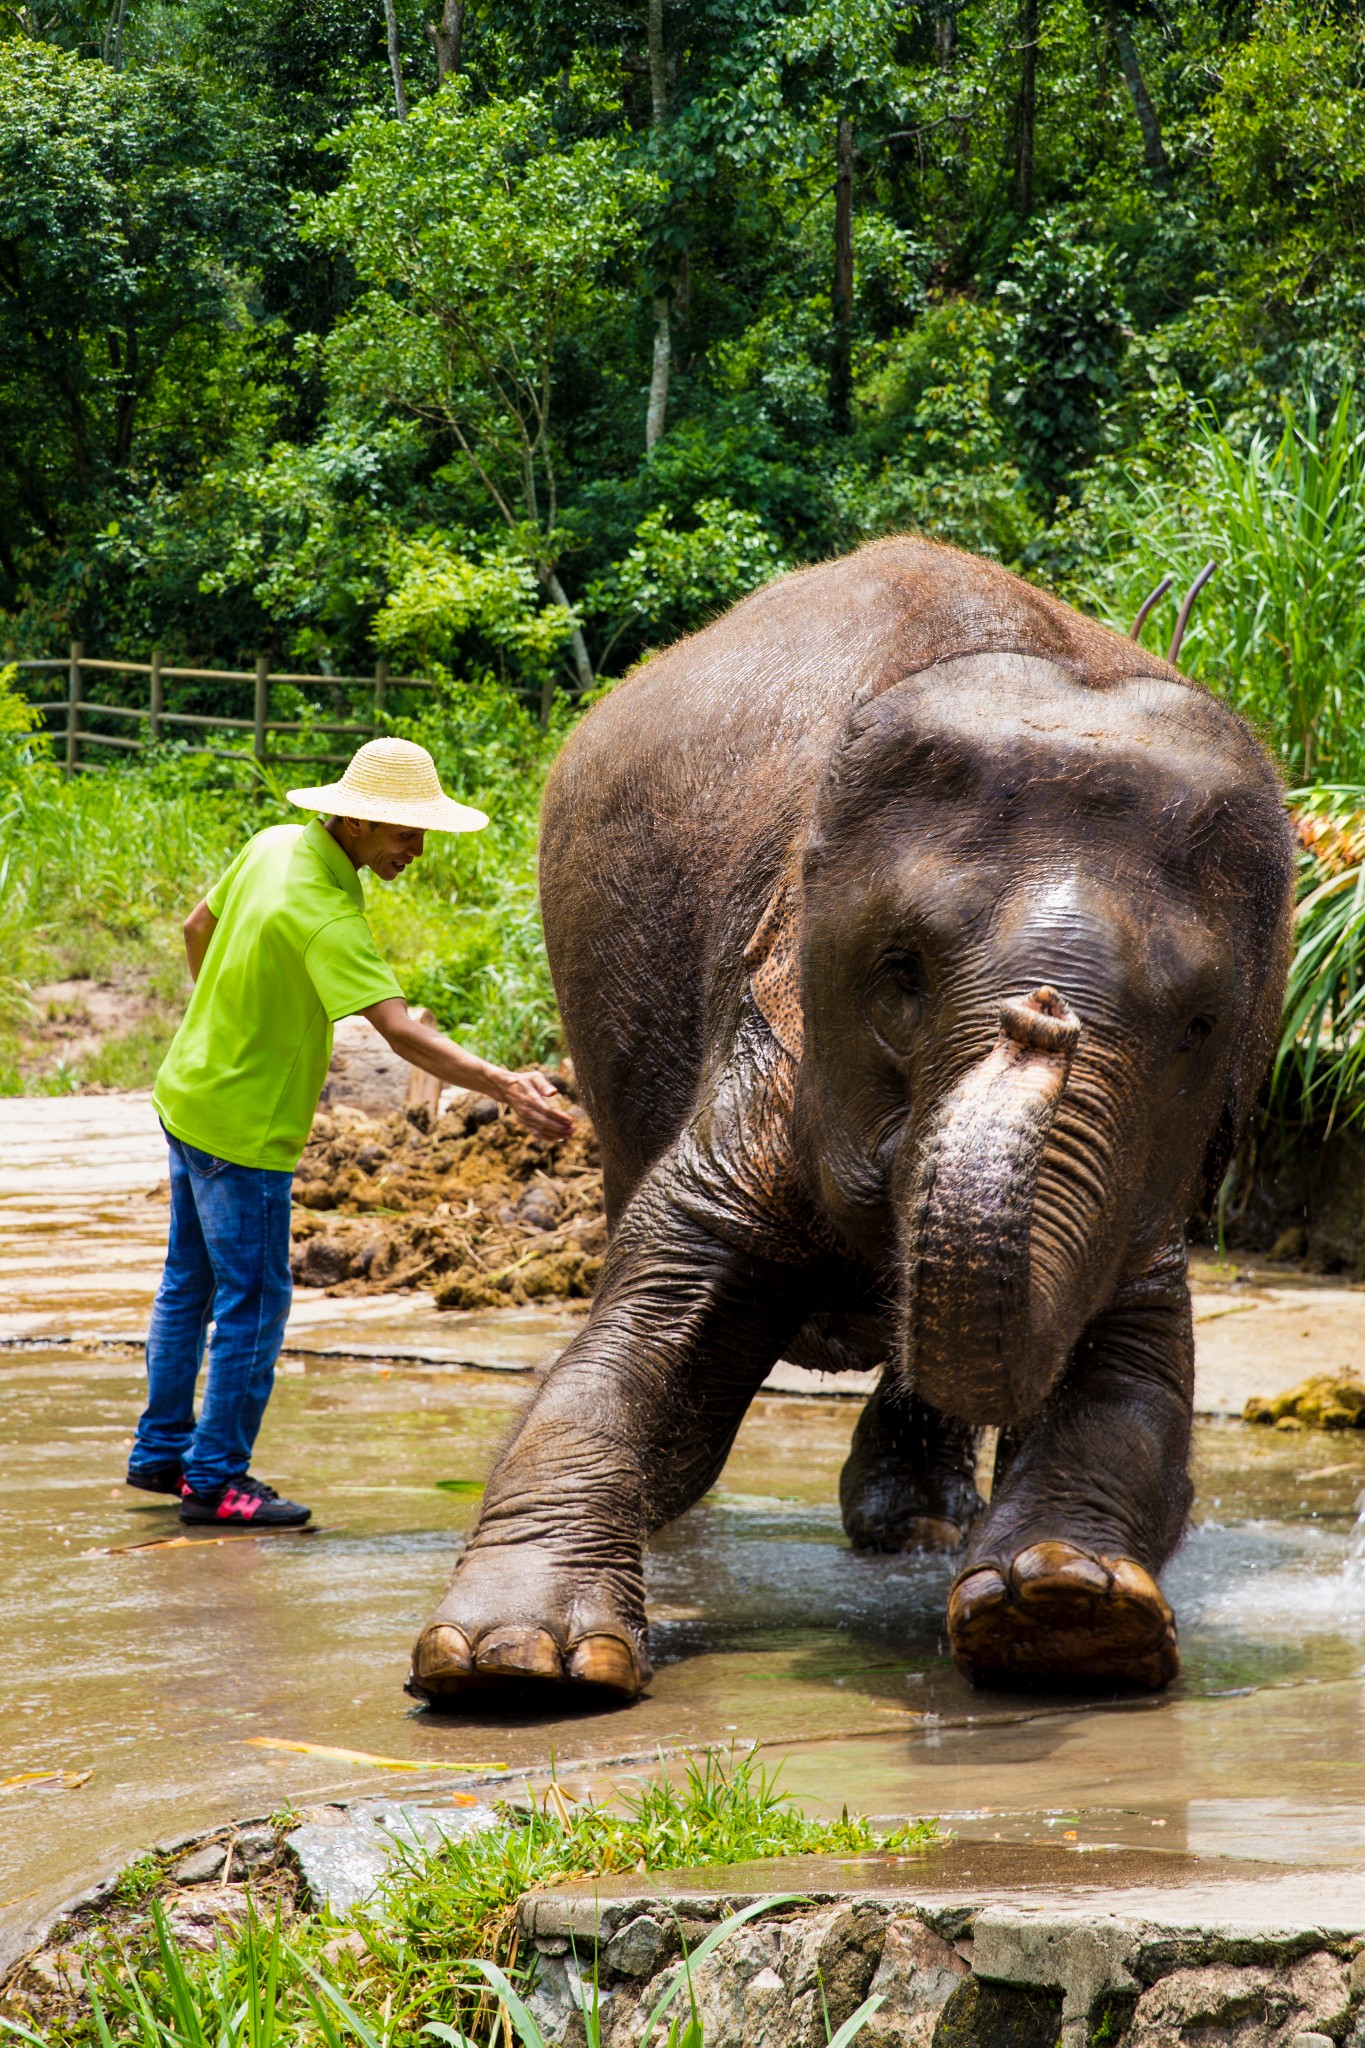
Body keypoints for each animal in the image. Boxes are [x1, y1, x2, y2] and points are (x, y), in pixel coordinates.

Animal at [405, 536, 1293, 1703]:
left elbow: (1138, 1373)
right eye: (901, 972)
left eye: (1198, 1024)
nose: (1040, 1017)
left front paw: (1067, 1605)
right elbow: (656, 1330)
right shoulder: (770, 1023)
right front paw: (511, 1660)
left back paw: (917, 1530)